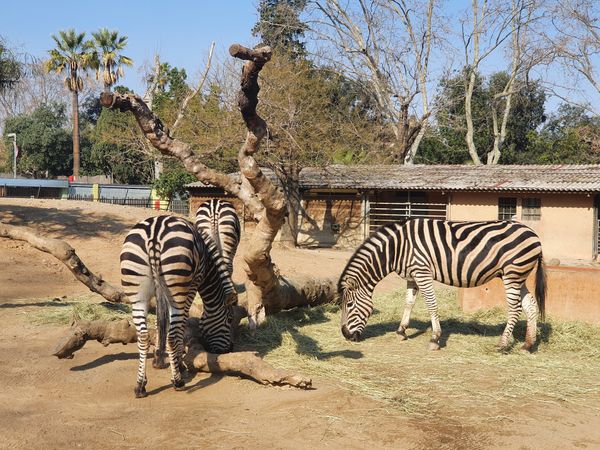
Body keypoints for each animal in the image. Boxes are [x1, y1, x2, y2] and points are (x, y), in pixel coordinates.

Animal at [120, 214, 237, 398]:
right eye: (230, 319)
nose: (229, 349)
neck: (207, 264)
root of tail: (154, 232)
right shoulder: (193, 285)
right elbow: (181, 324)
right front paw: (179, 364)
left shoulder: (159, 292)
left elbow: (160, 321)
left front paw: (158, 359)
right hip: (177, 289)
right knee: (172, 335)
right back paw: (177, 381)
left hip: (137, 292)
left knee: (143, 336)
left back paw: (140, 385)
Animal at [340, 218, 548, 352]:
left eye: (349, 305)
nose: (346, 336)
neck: (397, 248)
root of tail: (534, 235)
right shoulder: (412, 276)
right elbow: (408, 303)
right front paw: (401, 331)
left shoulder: (422, 272)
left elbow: (431, 305)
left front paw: (435, 339)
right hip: (517, 276)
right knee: (530, 305)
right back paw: (527, 345)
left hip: (512, 274)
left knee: (514, 308)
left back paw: (503, 344)